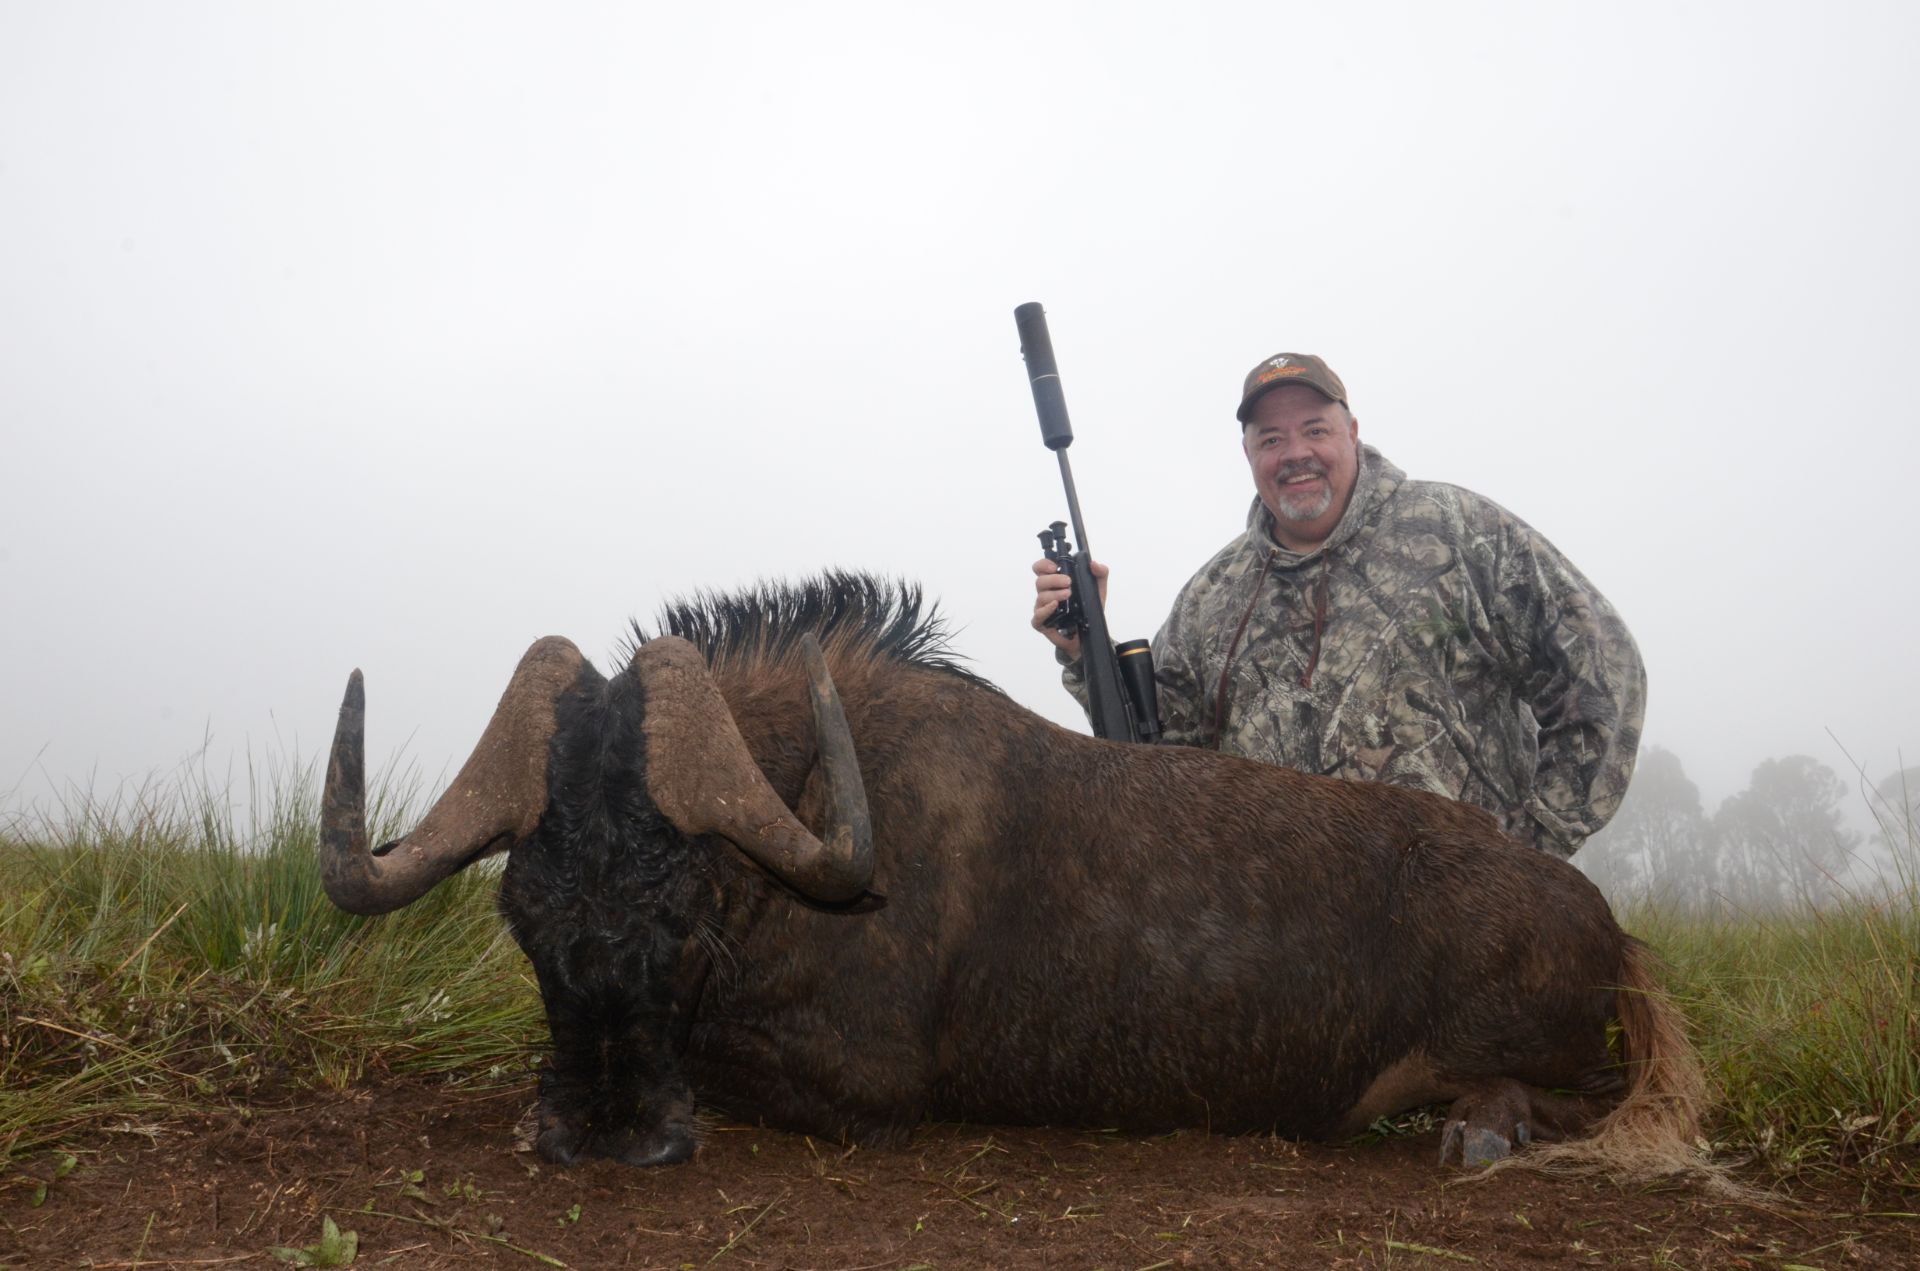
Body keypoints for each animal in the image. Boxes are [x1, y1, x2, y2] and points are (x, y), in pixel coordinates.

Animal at [319, 574, 1703, 1177]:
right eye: (525, 912)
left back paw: (1485, 1127)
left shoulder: (868, 1081)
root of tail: (1610, 931)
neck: (807, 808)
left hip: (1532, 1053)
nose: (606, 1132)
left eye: (682, 899)